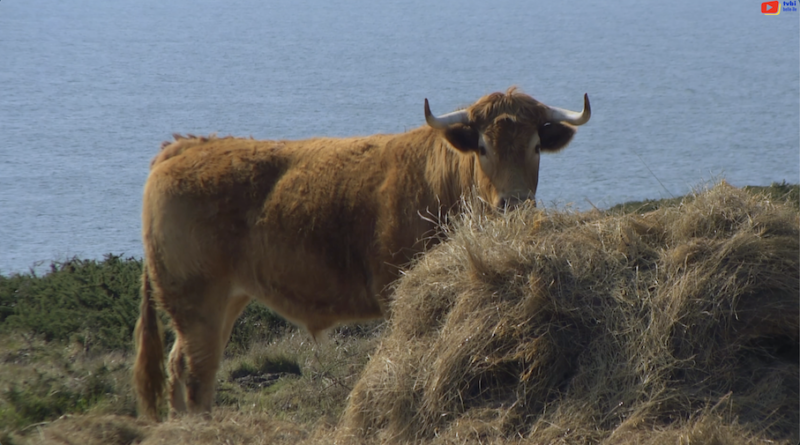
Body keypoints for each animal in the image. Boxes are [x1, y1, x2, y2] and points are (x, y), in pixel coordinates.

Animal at [133, 87, 591, 420]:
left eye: (535, 146)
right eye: (482, 148)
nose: (513, 203)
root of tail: (187, 146)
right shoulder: (394, 290)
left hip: (224, 300)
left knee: (183, 367)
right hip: (197, 301)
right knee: (196, 373)